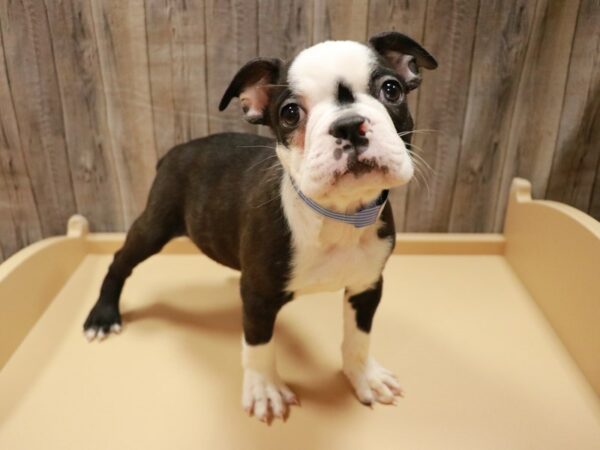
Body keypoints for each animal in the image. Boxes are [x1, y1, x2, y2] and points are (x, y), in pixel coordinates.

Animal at [82, 31, 436, 422]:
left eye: (392, 90)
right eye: (290, 113)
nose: (347, 124)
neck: (337, 214)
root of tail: (175, 151)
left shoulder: (367, 285)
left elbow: (358, 337)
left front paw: (364, 376)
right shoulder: (258, 297)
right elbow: (259, 343)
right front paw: (265, 389)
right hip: (155, 225)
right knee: (120, 260)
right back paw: (103, 315)